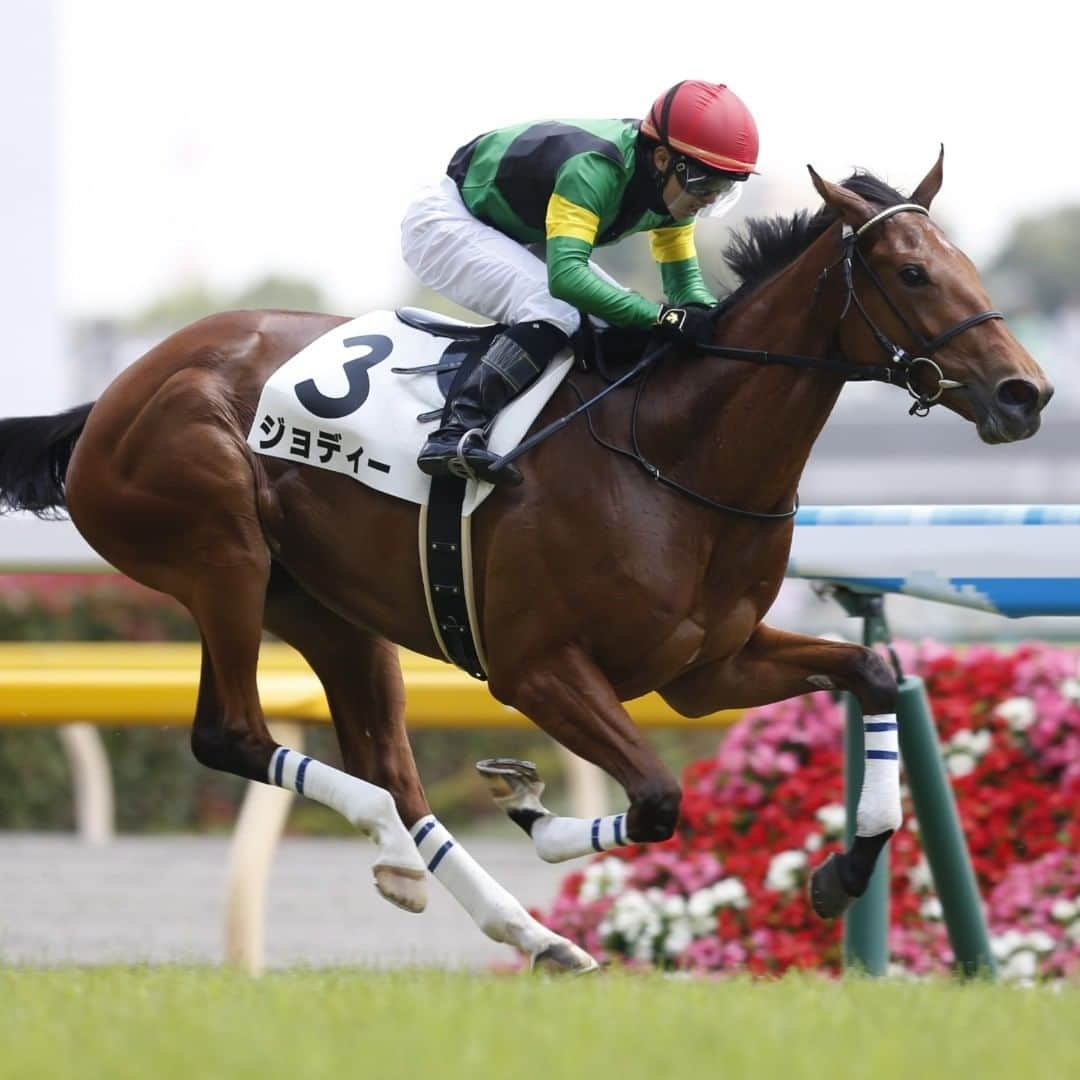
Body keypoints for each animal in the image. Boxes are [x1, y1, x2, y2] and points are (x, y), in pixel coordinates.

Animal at [0, 152, 1049, 972]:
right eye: (912, 273)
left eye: (964, 262)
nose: (1025, 392)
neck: (674, 452)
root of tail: (111, 397)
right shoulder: (537, 670)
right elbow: (658, 800)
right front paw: (532, 806)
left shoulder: (709, 670)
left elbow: (869, 670)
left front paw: (841, 872)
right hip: (221, 554)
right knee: (235, 736)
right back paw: (407, 851)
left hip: (326, 607)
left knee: (391, 769)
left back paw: (519, 927)